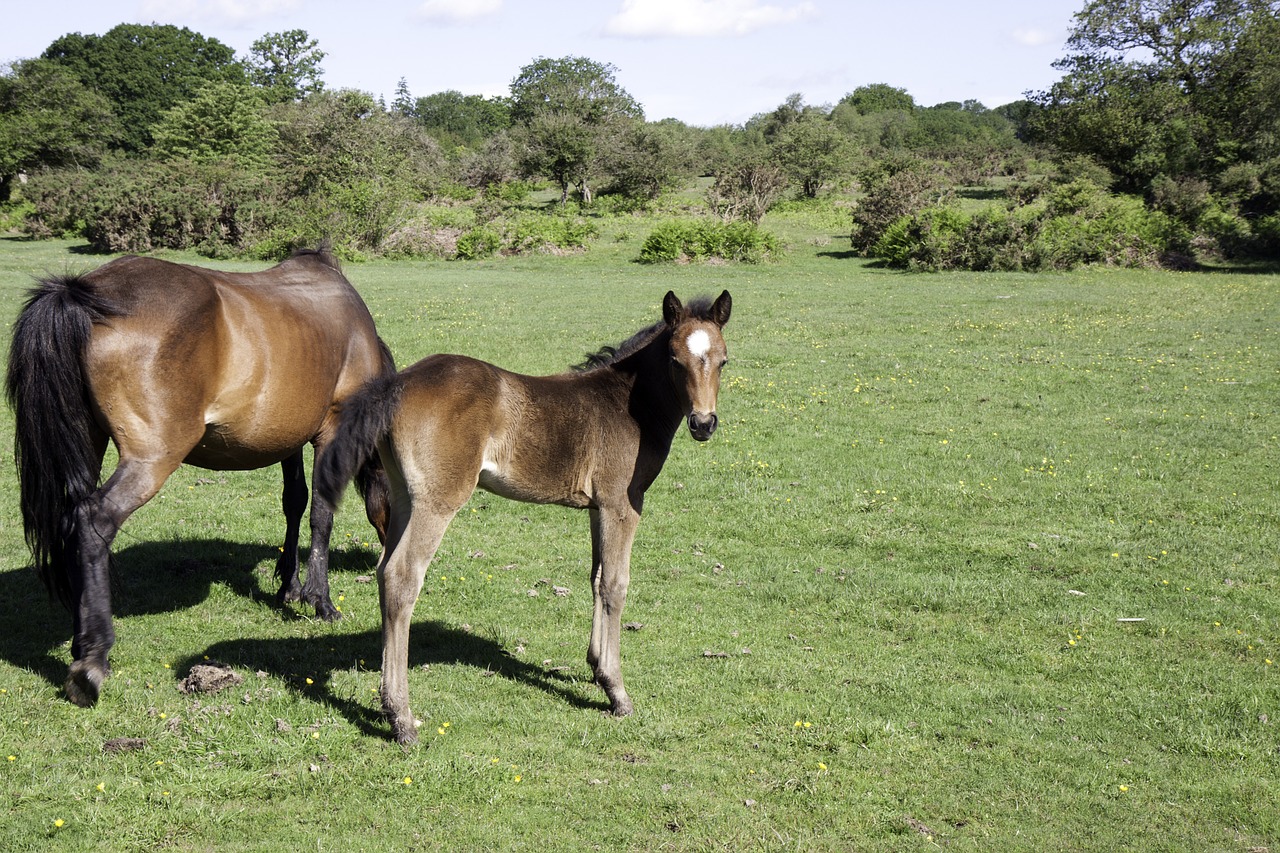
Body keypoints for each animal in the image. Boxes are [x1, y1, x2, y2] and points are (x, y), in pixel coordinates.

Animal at [6, 245, 394, 701]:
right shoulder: (331, 430)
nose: (390, 551)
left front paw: (289, 586)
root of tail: (80, 291)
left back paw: (80, 643)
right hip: (151, 458)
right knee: (92, 521)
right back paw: (93, 661)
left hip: (88, 443)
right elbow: (322, 513)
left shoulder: (290, 437)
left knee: (70, 522)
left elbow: (295, 503)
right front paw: (320, 600)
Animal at [317, 286, 732, 737]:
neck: (629, 404)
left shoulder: (596, 507)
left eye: (723, 360)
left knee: (383, 571)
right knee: (402, 576)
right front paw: (617, 692)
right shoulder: (622, 504)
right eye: (675, 360)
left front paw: (596, 668)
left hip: (406, 496)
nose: (704, 423)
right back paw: (401, 717)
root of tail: (398, 382)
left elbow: (596, 578)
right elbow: (615, 585)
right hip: (437, 502)